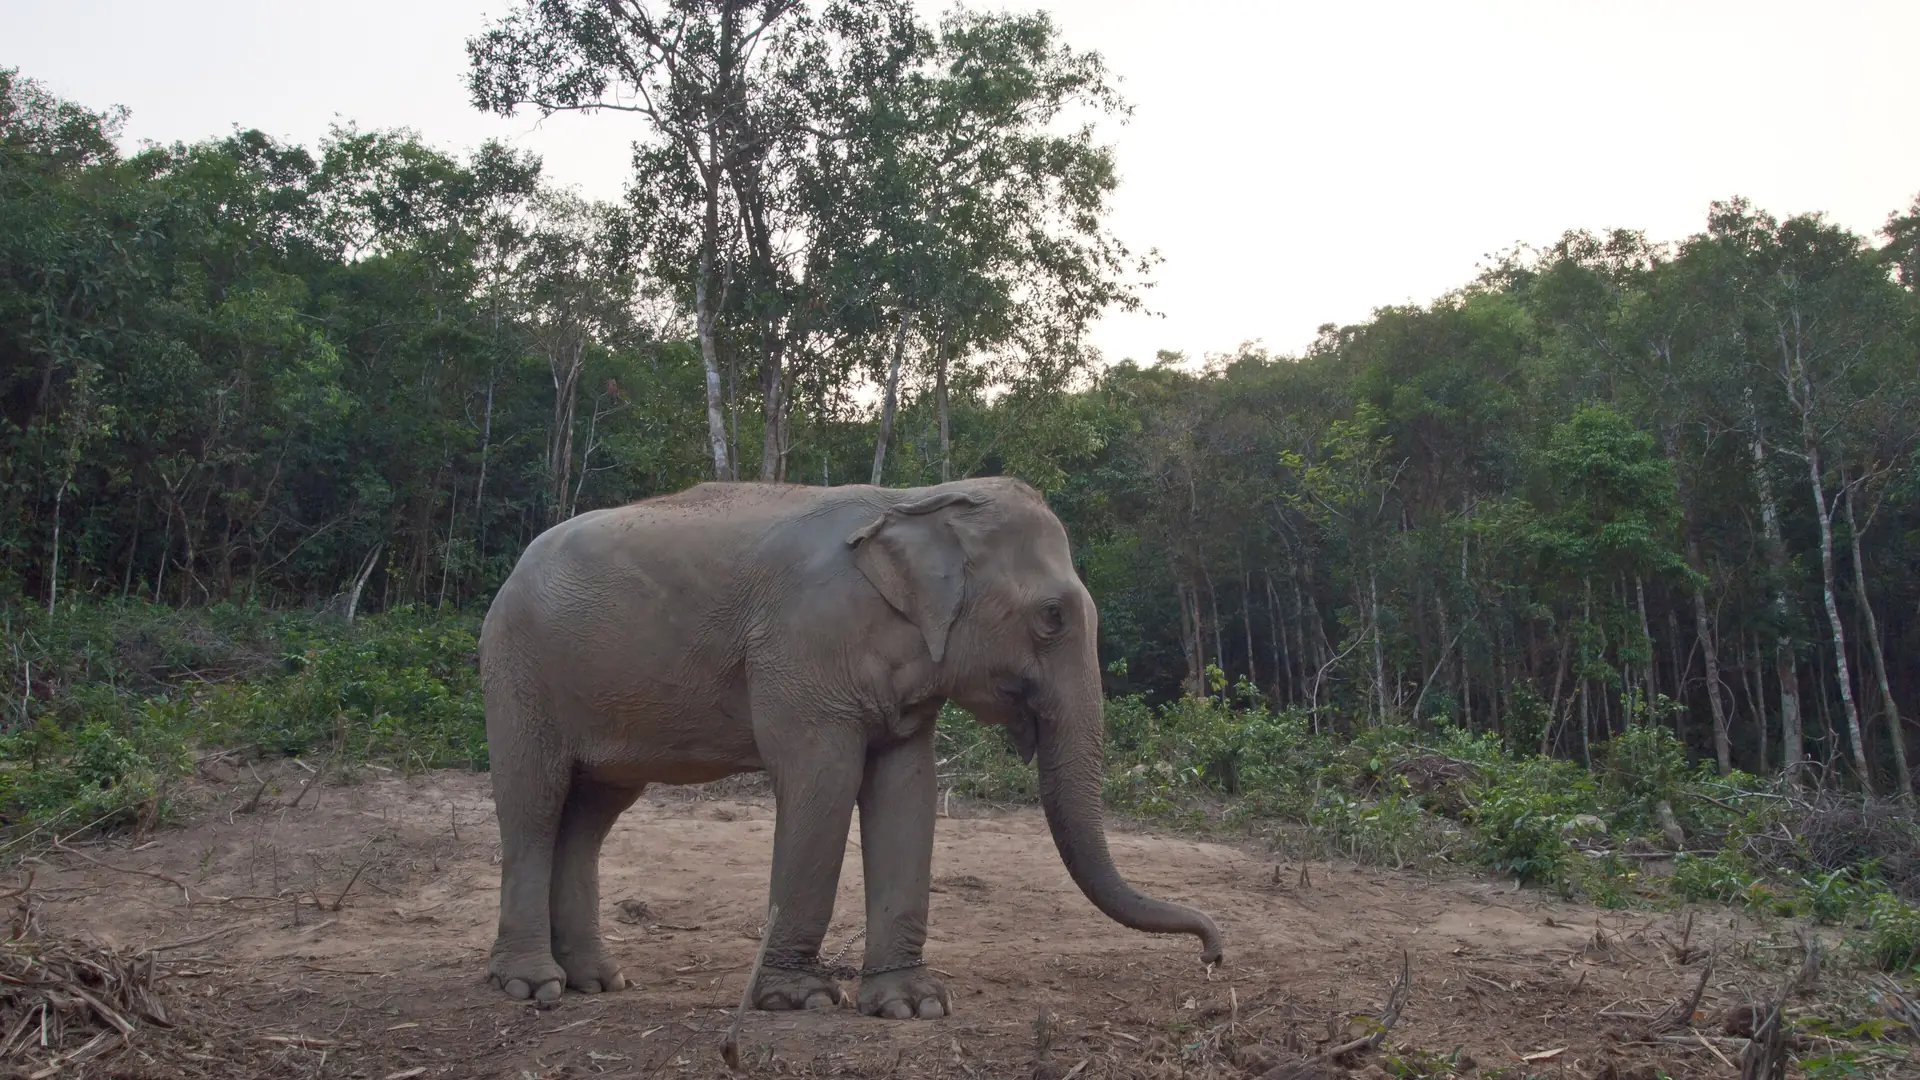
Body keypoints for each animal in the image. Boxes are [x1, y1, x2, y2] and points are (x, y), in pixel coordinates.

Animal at [478, 476, 1223, 1019]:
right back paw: (533, 988)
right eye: (1051, 616)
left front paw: (913, 1006)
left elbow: (908, 791)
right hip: (517, 669)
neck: (916, 500)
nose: (1213, 956)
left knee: (590, 815)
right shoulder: (803, 652)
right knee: (535, 802)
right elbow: (823, 784)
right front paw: (800, 1000)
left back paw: (598, 983)